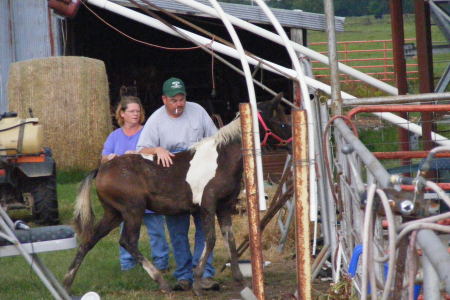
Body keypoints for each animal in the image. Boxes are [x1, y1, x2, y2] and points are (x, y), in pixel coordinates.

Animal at [63, 94, 292, 296]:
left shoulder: (225, 207)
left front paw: (241, 282)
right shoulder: (208, 205)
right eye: (281, 122)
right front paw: (198, 284)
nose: (291, 143)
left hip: (113, 214)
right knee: (127, 242)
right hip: (133, 211)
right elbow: (210, 240)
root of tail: (102, 169)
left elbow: (230, 240)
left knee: (89, 240)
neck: (221, 159)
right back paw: (162, 282)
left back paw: (66, 283)